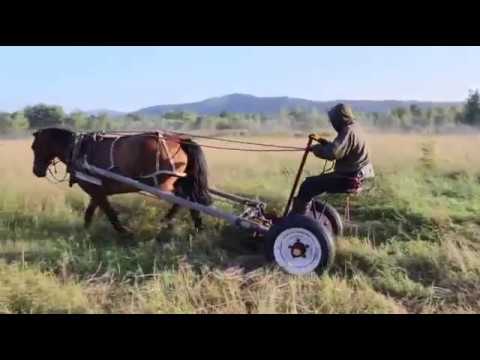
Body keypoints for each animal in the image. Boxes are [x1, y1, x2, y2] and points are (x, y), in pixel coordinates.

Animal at [30, 128, 210, 235]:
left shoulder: (96, 191)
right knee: (188, 200)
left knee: (184, 199)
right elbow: (90, 212)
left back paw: (170, 222)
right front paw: (85, 232)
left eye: (34, 147)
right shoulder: (96, 190)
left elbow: (109, 212)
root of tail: (180, 140)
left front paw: (124, 232)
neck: (77, 149)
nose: (36, 171)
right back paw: (196, 226)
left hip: (164, 184)